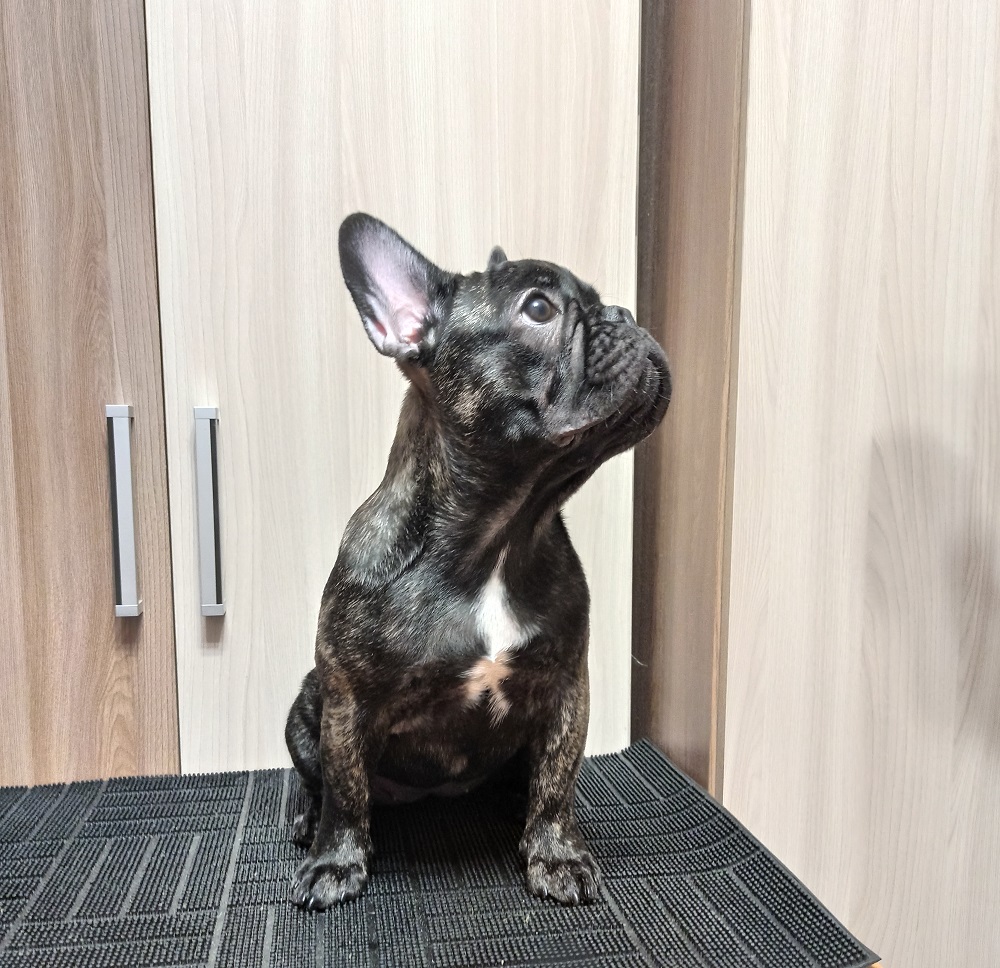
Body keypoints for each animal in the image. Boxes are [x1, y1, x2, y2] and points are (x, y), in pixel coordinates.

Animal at [285, 213, 670, 909]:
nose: (625, 313)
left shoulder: (565, 685)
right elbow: (346, 788)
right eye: (539, 308)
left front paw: (555, 852)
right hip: (307, 705)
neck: (503, 532)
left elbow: (557, 781)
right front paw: (335, 861)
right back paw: (306, 818)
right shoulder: (347, 699)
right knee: (318, 779)